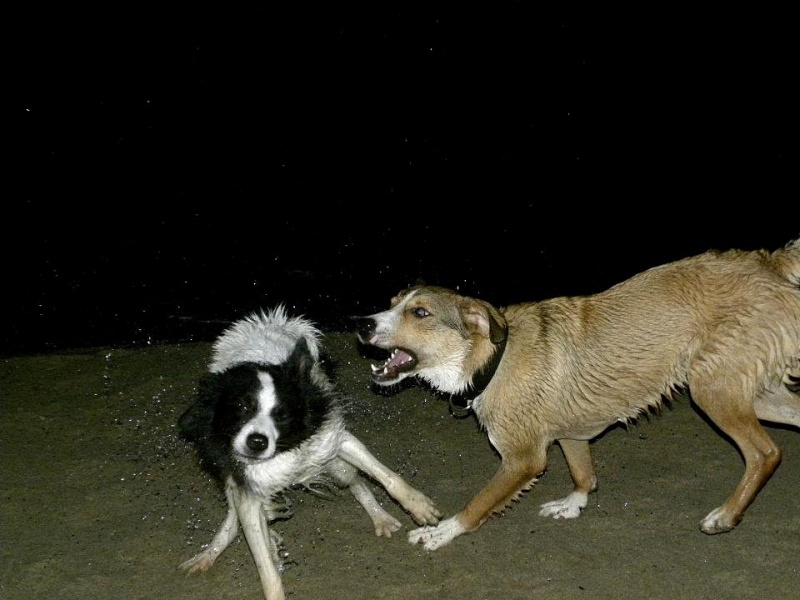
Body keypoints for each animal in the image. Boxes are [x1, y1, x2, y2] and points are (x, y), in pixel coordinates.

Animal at [178, 308, 440, 596]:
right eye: (241, 407)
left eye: (281, 413)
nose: (257, 442)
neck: (284, 450)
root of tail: (273, 321)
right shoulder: (247, 491)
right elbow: (265, 566)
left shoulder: (335, 438)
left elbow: (388, 476)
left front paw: (417, 505)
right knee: (235, 520)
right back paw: (211, 554)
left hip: (338, 467)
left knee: (357, 482)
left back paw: (380, 518)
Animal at [354, 237, 800, 552]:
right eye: (392, 303)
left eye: (420, 313)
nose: (362, 324)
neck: (494, 358)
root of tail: (768, 261)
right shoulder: (570, 432)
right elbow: (584, 474)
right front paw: (573, 504)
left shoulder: (522, 459)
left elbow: (477, 504)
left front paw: (442, 532)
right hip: (756, 395)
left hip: (712, 389)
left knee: (765, 453)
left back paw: (725, 515)